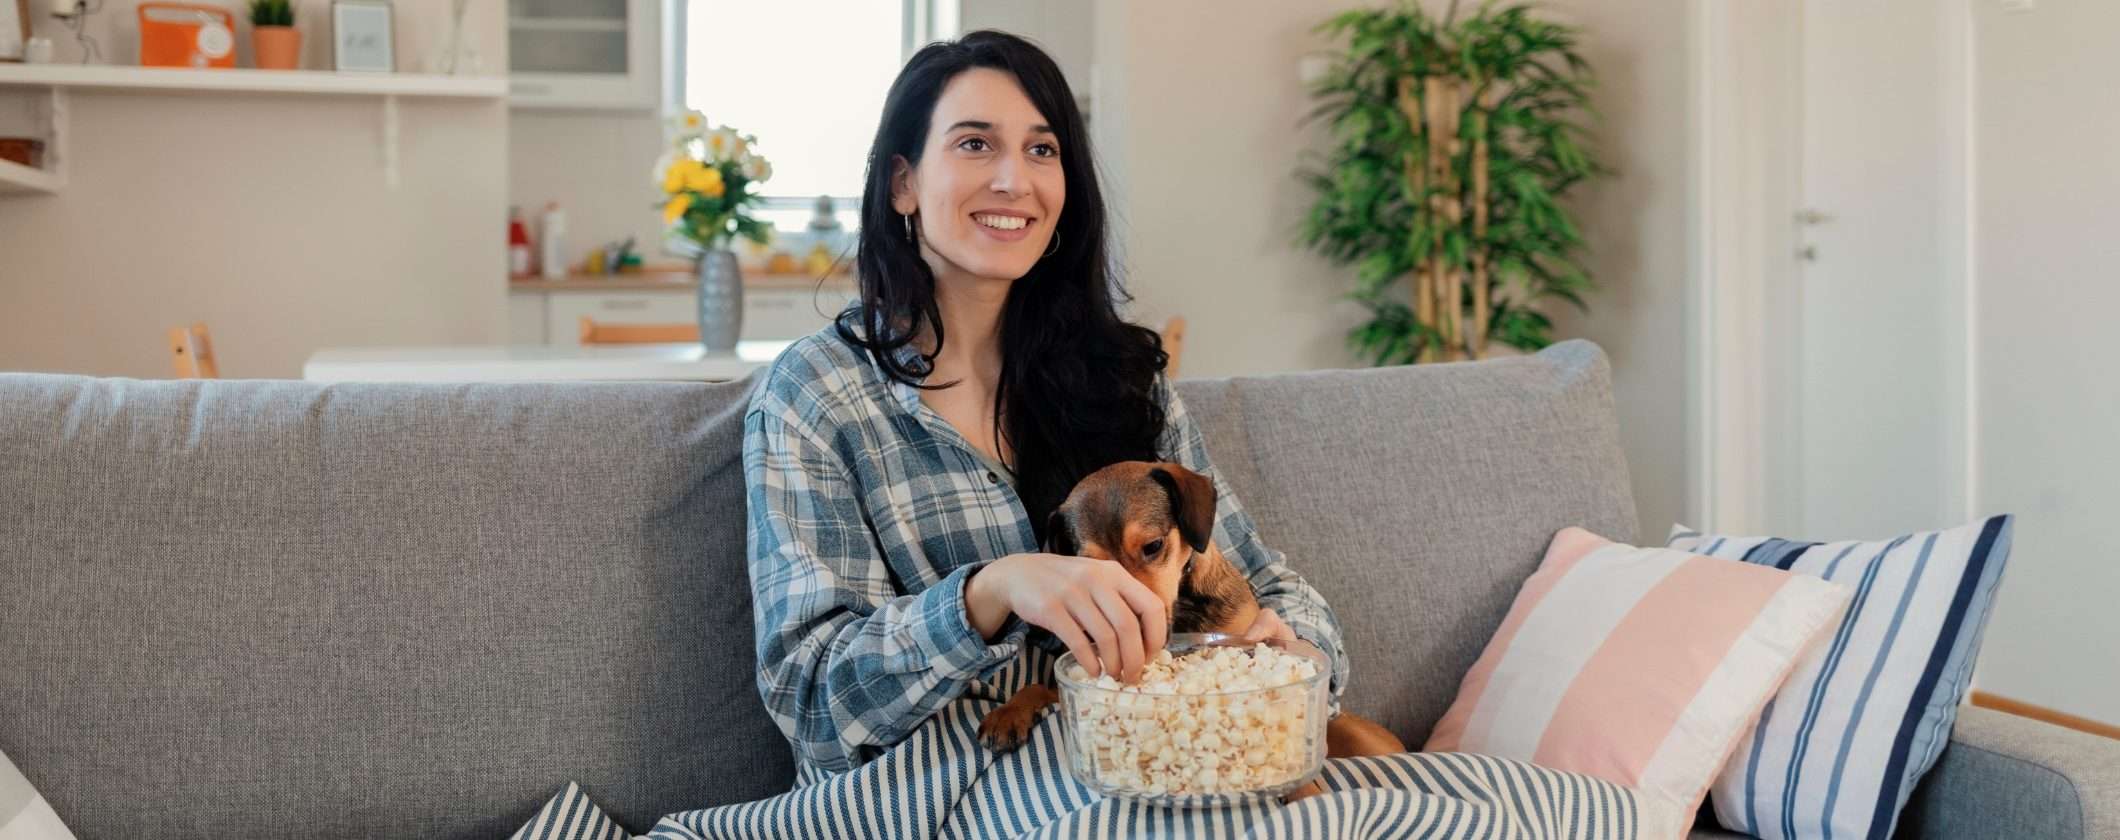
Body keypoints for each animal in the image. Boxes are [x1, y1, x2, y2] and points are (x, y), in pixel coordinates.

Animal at [977, 461, 1405, 797]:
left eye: (1153, 545)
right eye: (1090, 568)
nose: (1131, 628)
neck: (1182, 606)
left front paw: (1302, 790)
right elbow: (1037, 684)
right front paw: (1008, 713)